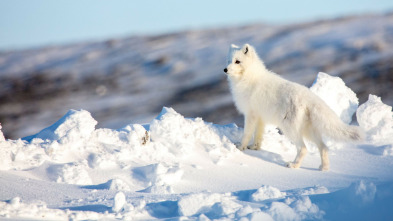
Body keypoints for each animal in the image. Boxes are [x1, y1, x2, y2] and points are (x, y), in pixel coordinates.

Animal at [222, 43, 362, 171]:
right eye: (229, 60)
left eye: (237, 61)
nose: (225, 70)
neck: (248, 77)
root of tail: (309, 97)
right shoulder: (260, 117)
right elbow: (258, 135)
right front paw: (254, 147)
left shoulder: (250, 114)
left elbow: (247, 133)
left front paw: (240, 147)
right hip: (308, 131)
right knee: (323, 147)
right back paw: (324, 168)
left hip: (289, 128)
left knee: (304, 148)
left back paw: (294, 165)